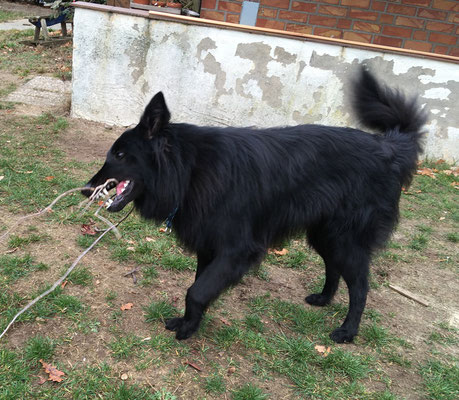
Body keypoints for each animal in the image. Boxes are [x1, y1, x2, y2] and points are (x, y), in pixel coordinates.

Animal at [85, 67, 428, 342]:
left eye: (119, 155)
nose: (87, 189)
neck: (190, 170)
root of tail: (389, 148)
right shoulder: (209, 248)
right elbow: (198, 286)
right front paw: (190, 323)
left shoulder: (236, 250)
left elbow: (196, 291)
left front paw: (187, 329)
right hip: (325, 234)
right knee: (333, 267)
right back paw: (323, 298)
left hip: (346, 239)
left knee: (360, 288)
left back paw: (348, 331)